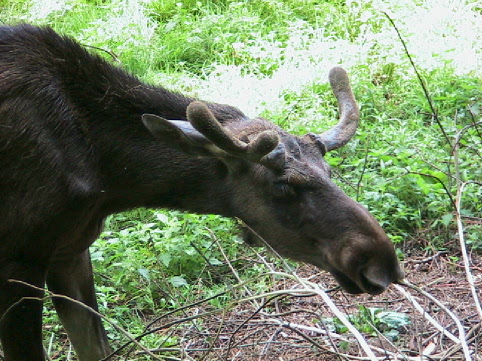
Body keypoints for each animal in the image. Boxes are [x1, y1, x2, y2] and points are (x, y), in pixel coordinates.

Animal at [0, 23, 402, 358]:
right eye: (282, 185)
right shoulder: (18, 262)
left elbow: (96, 348)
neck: (107, 178)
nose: (381, 263)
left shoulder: (71, 248)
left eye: (329, 170)